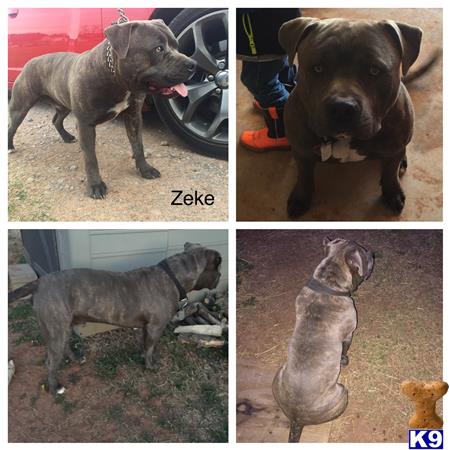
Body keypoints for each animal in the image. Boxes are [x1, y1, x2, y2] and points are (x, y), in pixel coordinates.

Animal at [7, 19, 196, 199]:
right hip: (21, 106)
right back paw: (10, 146)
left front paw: (145, 169)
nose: (193, 63)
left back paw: (67, 137)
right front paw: (95, 185)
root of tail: (30, 61)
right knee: (12, 127)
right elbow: (91, 158)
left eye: (177, 46)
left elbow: (138, 146)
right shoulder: (85, 125)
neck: (115, 78)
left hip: (64, 104)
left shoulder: (134, 117)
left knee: (56, 120)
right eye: (158, 49)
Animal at [8, 244, 221, 396]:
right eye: (218, 267)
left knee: (63, 348)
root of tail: (40, 282)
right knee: (51, 362)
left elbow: (146, 345)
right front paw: (150, 365)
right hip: (57, 329)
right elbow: (151, 346)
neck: (172, 276)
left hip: (62, 327)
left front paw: (143, 356)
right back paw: (55, 388)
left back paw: (76, 358)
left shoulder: (147, 327)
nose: (220, 276)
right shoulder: (156, 327)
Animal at [272, 237, 374, 442]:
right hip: (342, 393)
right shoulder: (349, 333)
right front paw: (344, 360)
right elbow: (345, 350)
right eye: (363, 253)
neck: (328, 284)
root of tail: (296, 419)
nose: (372, 253)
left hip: (278, 375)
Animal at [278, 15, 426, 216]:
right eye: (317, 68)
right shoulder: (302, 151)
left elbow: (390, 173)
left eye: (374, 70)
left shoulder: (394, 148)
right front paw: (300, 197)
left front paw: (392, 192)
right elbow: (304, 176)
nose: (342, 108)